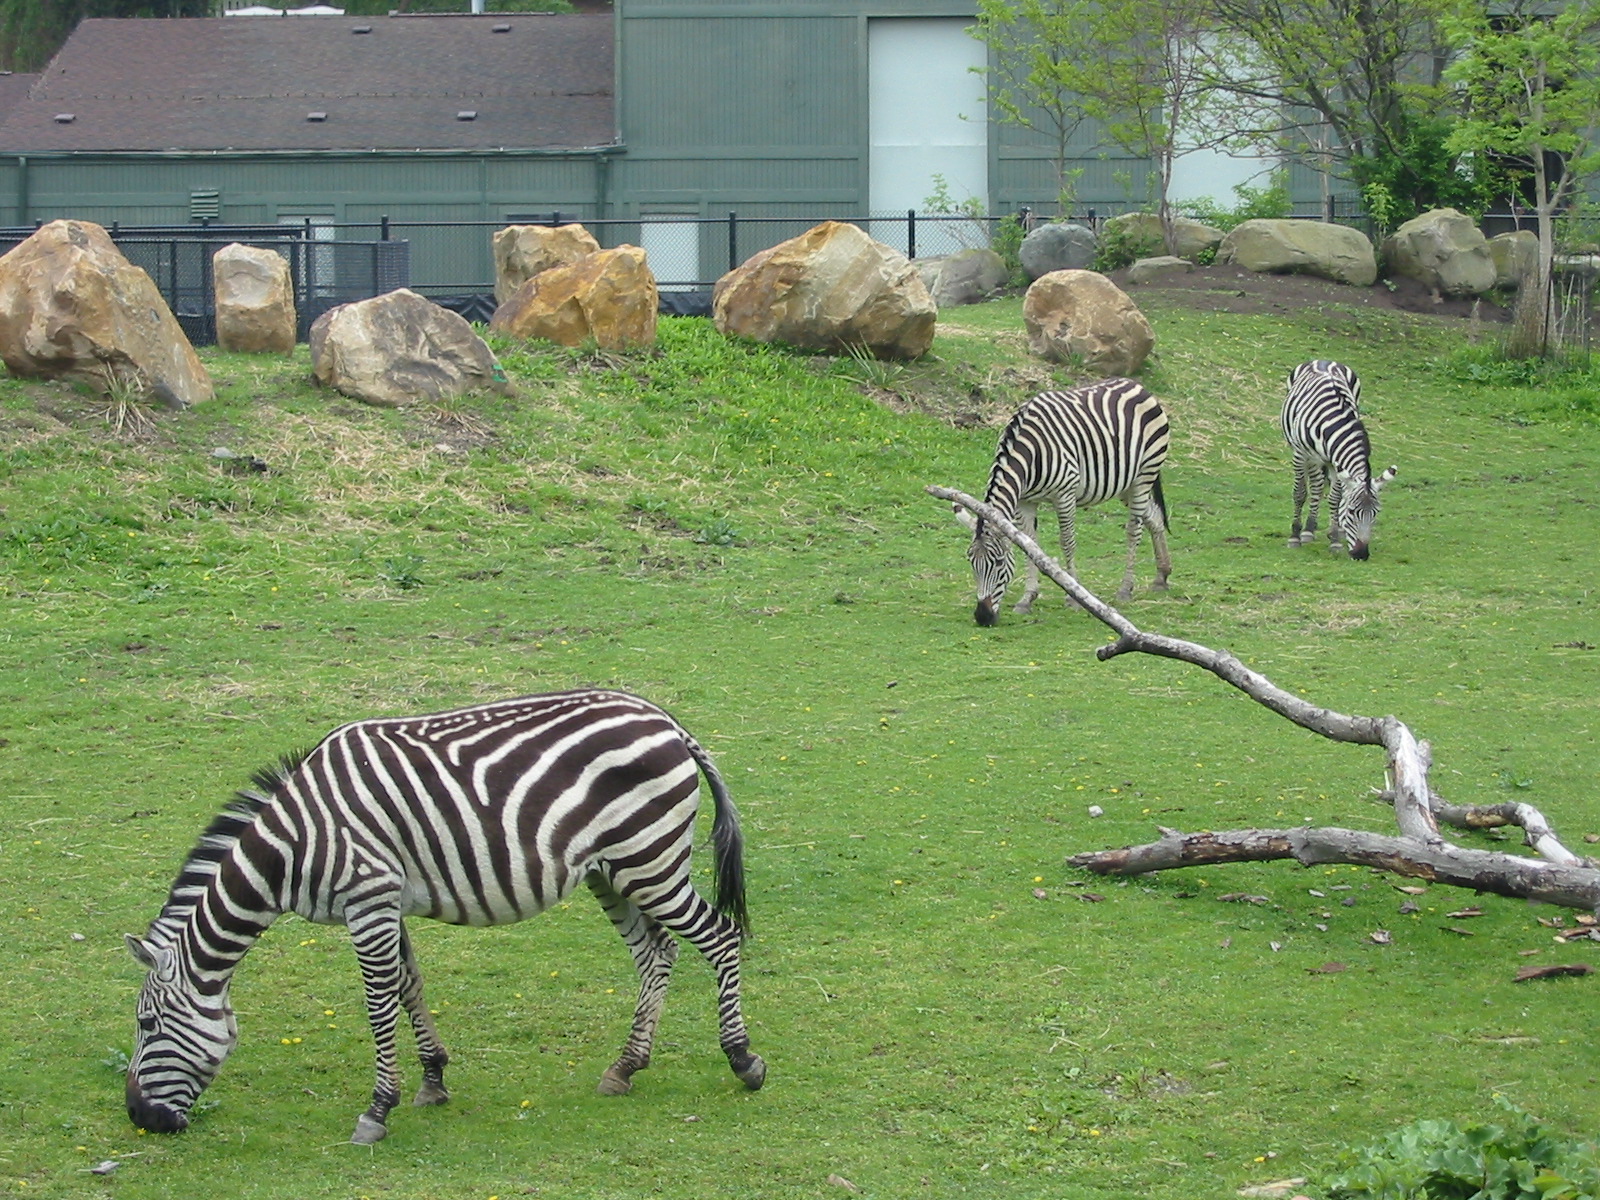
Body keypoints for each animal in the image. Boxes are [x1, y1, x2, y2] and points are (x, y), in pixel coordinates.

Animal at [124, 688, 766, 1146]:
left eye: (147, 1025)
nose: (140, 1118)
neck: (294, 844)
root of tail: (666, 721)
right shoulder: (384, 901)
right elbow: (409, 984)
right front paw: (433, 1078)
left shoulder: (367, 897)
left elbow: (378, 1001)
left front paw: (377, 1109)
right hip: (613, 871)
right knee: (657, 952)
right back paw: (626, 1067)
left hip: (649, 858)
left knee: (720, 936)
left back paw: (742, 1060)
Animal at [956, 378, 1172, 624]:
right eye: (971, 562)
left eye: (999, 562)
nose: (982, 616)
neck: (1029, 454)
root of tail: (1137, 385)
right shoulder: (1025, 501)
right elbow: (1029, 545)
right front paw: (1027, 599)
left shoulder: (1065, 494)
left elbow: (1068, 542)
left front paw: (1073, 597)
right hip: (1126, 483)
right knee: (1154, 517)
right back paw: (1162, 576)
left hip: (1144, 475)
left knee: (1134, 531)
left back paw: (1125, 589)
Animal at [1282, 360, 1397, 560]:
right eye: (1352, 511)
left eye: (1376, 513)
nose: (1361, 555)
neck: (1331, 421)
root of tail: (1324, 360)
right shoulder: (1300, 454)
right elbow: (1300, 493)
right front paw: (1294, 536)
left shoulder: (1335, 462)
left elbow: (1335, 498)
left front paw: (1335, 539)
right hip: (1309, 455)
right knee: (1315, 484)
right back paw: (1307, 531)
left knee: (1321, 485)